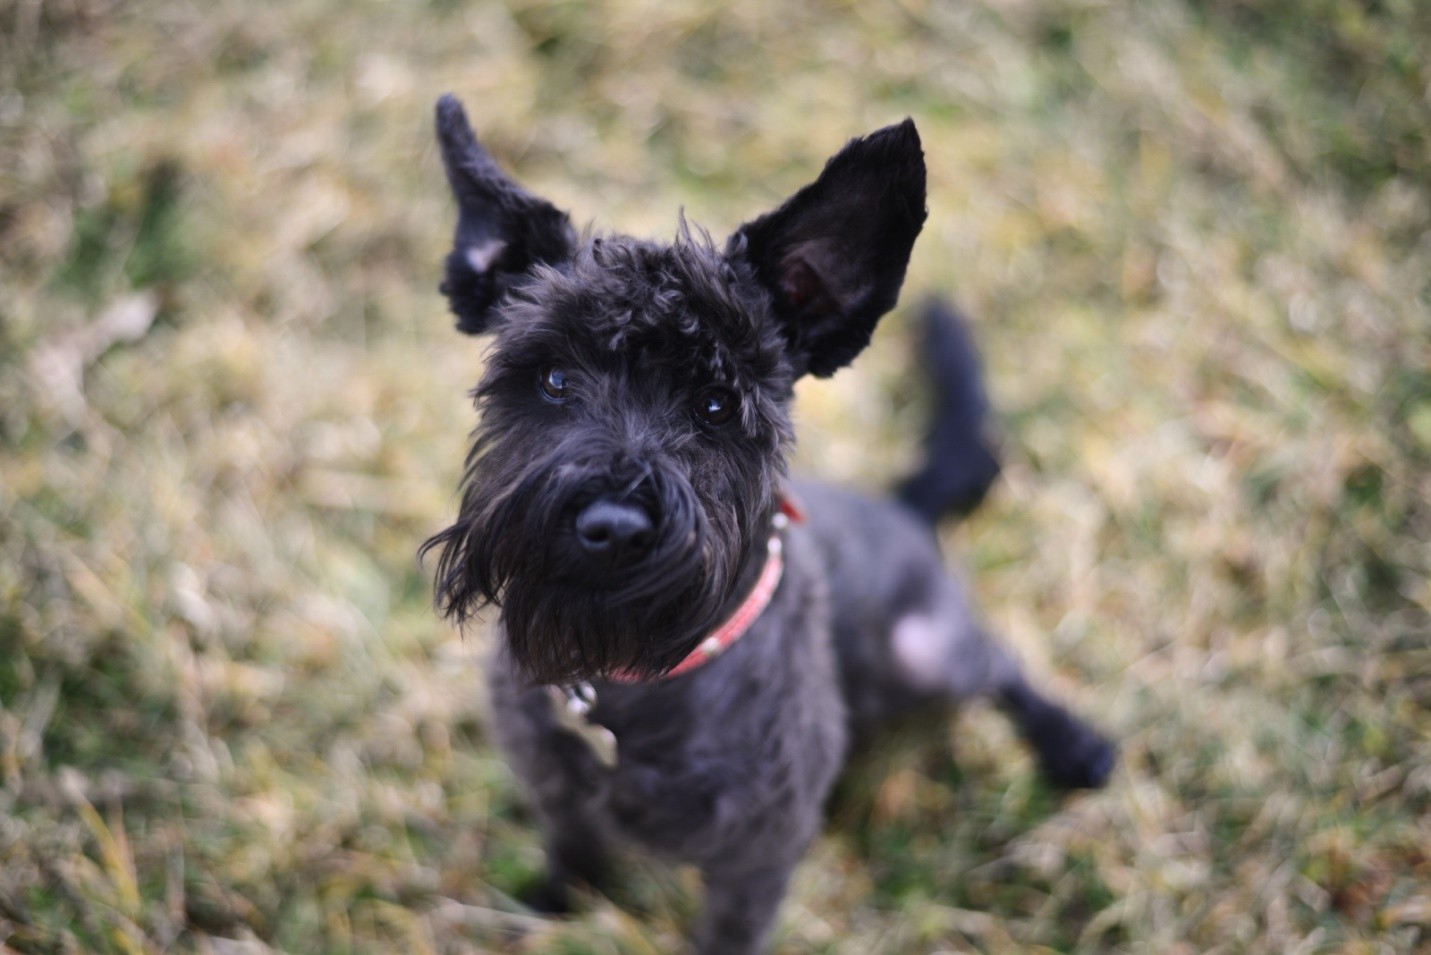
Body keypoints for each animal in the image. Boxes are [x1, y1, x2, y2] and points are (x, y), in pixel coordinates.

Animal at [423, 95, 1116, 955]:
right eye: (551, 378)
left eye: (717, 404)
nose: (612, 524)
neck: (631, 686)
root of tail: (901, 504)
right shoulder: (557, 792)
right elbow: (574, 853)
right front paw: (547, 907)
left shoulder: (755, 861)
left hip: (928, 654)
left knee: (996, 661)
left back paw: (1072, 743)